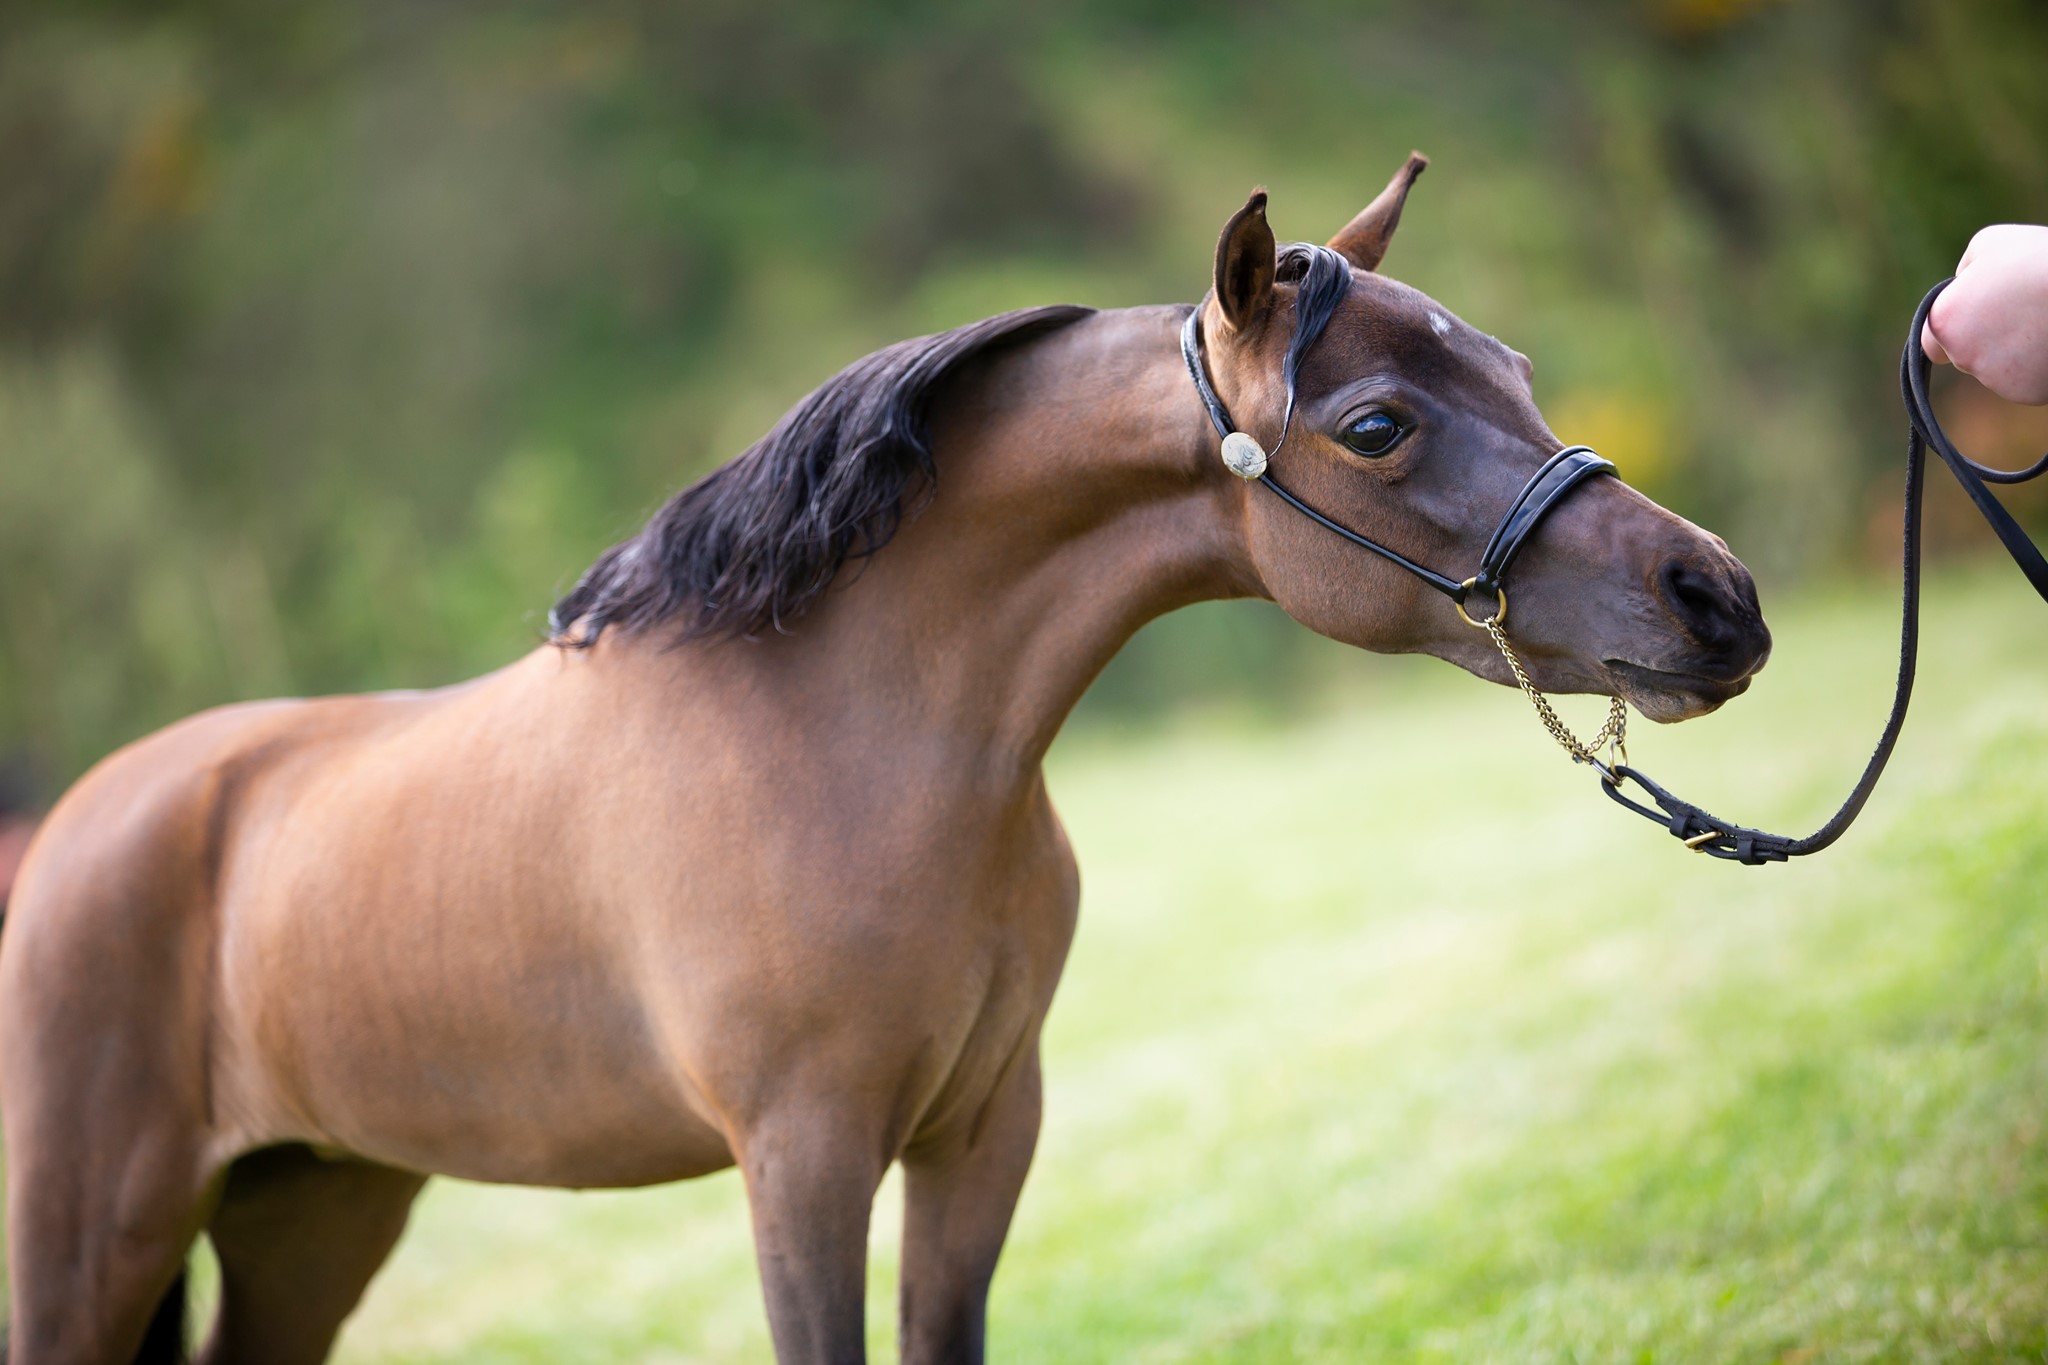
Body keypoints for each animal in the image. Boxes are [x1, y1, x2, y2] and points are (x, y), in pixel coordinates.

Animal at [0, 154, 1770, 1364]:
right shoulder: (802, 1159)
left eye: (1520, 374)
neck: (855, 743)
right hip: (94, 1239)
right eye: (1382, 425)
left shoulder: (981, 1133)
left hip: (316, 1205)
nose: (1719, 600)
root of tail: (82, 823)